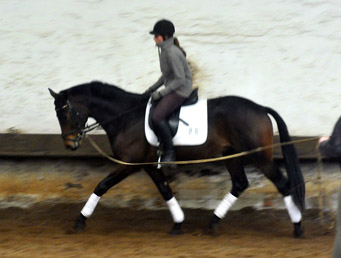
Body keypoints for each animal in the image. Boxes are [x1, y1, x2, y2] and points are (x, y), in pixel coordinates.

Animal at [48, 80, 306, 238]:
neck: (126, 117)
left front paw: (80, 221)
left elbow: (101, 186)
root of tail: (261, 108)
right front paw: (178, 223)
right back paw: (213, 222)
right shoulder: (149, 164)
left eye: (64, 114)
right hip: (231, 155)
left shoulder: (131, 164)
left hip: (258, 156)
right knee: (240, 183)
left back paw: (297, 227)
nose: (70, 144)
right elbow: (165, 190)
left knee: (282, 184)